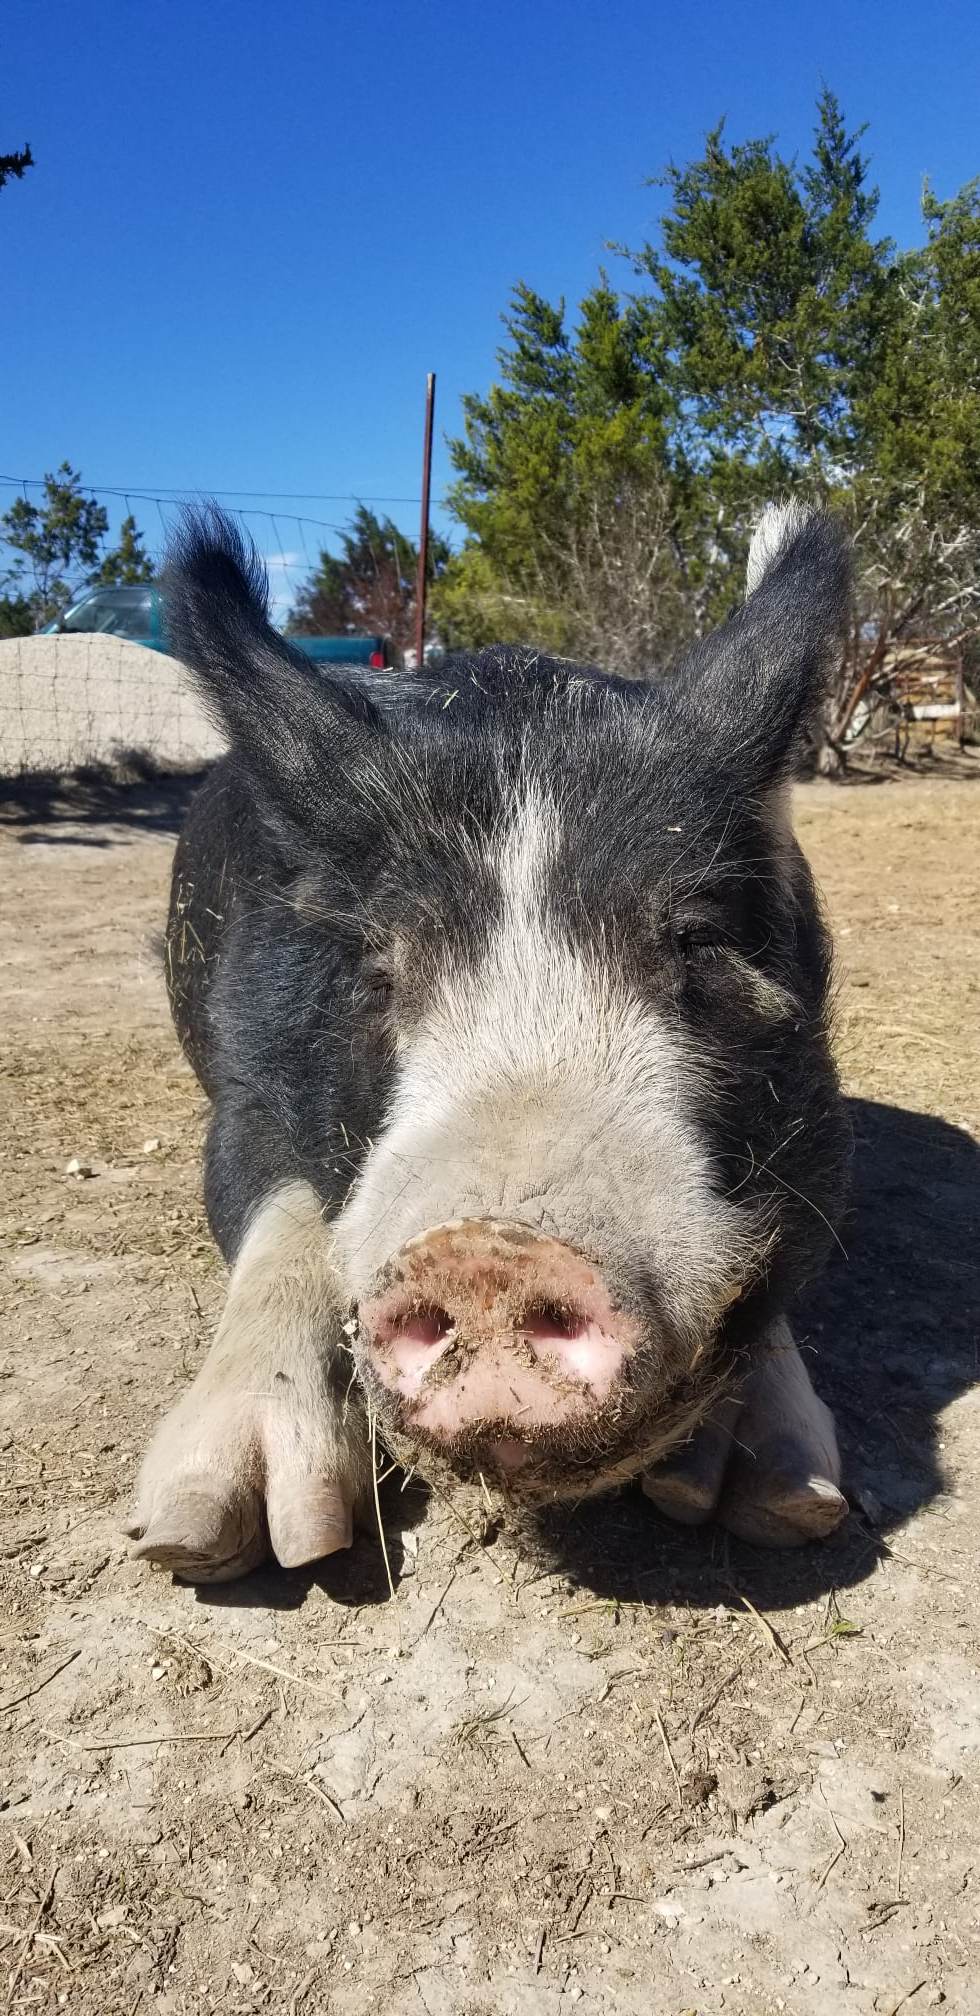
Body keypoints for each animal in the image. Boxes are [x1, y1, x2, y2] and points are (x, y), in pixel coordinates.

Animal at [127, 500, 851, 1583]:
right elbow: (280, 1214)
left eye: (696, 944)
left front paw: (784, 1505)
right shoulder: (245, 1080)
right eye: (378, 971)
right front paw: (210, 1542)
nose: (490, 1251)